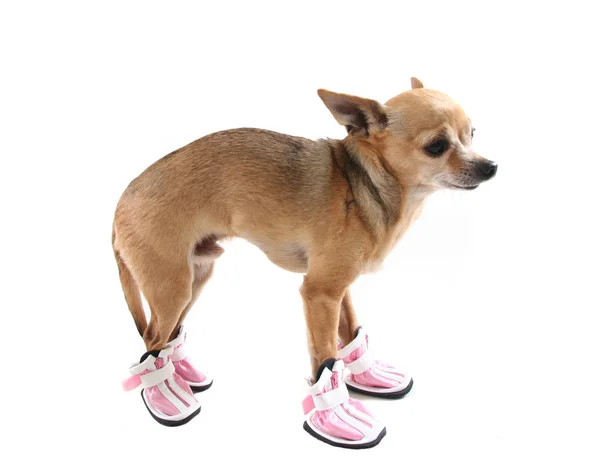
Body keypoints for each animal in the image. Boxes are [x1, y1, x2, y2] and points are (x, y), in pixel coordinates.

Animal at [113, 77, 496, 446]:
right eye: (437, 146)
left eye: (472, 134)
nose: (490, 166)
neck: (365, 186)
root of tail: (120, 204)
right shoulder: (319, 293)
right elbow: (324, 356)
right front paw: (335, 415)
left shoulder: (338, 289)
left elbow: (347, 333)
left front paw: (366, 376)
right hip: (173, 287)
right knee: (151, 338)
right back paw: (163, 395)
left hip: (196, 275)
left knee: (168, 335)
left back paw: (182, 378)